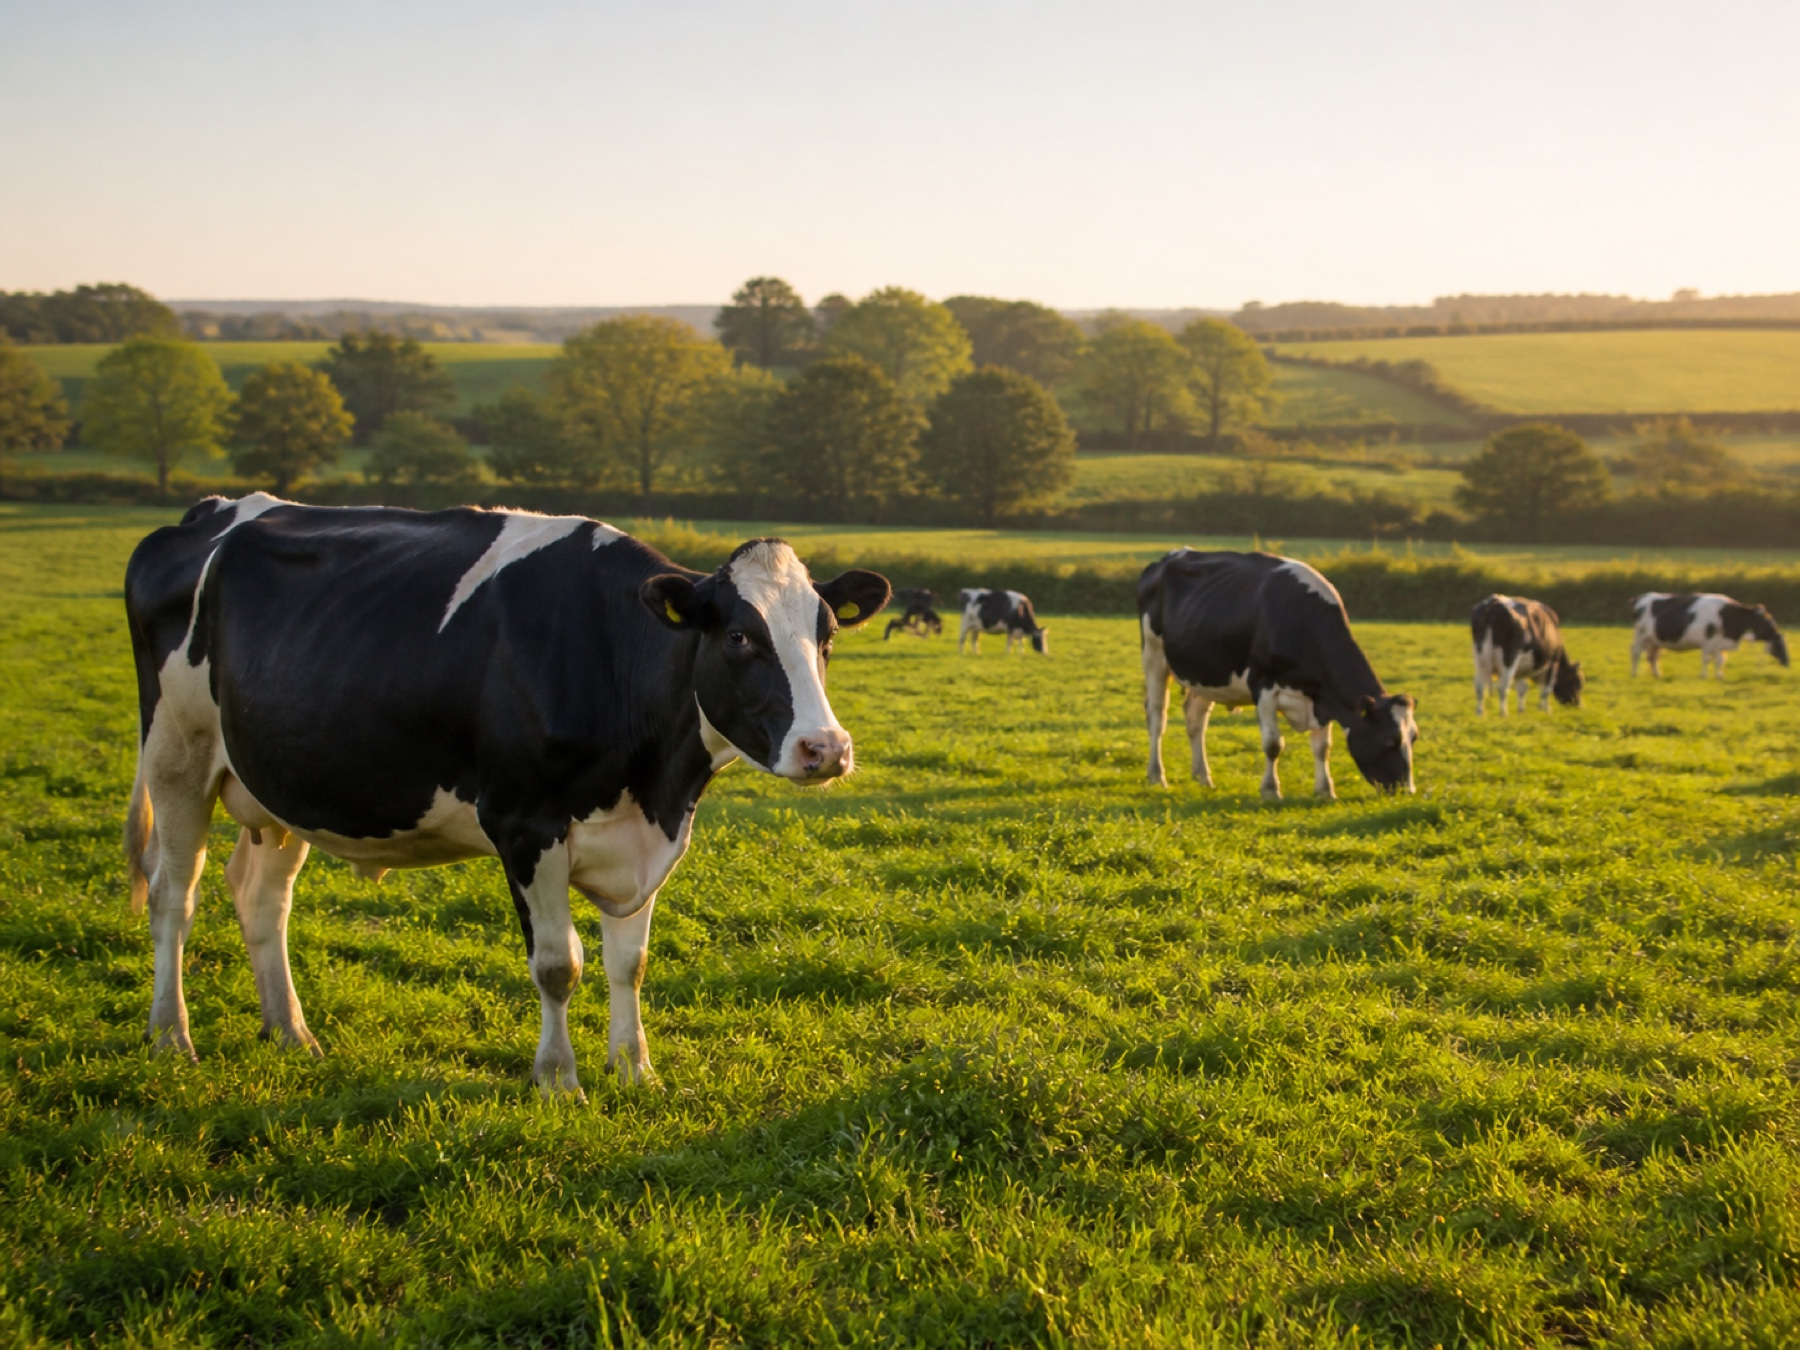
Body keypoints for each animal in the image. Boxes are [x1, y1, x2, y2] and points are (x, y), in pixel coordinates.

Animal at [122, 494, 890, 1096]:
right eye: (737, 636)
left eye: (826, 636)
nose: (826, 748)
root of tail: (210, 512)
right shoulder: (525, 824)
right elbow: (558, 965)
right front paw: (558, 1080)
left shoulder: (647, 837)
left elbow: (630, 964)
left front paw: (635, 1071)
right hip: (177, 752)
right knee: (173, 895)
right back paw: (171, 1038)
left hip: (281, 788)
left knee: (262, 897)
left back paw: (290, 1033)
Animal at [1137, 549, 1418, 799]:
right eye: (1389, 740)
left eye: (1413, 738)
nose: (1408, 791)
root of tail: (1172, 556)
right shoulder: (1264, 687)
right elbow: (1273, 744)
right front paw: (1271, 790)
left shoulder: (1322, 695)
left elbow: (1322, 748)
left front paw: (1325, 791)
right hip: (1154, 654)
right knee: (1156, 717)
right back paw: (1157, 776)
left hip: (1205, 672)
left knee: (1196, 719)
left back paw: (1203, 777)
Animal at [1631, 592, 1790, 678]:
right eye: (1768, 622)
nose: (1787, 662)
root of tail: (1641, 597)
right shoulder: (1708, 642)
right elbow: (1707, 660)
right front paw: (1704, 676)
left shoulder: (1719, 643)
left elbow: (1720, 660)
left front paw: (1720, 676)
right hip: (1640, 635)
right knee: (1636, 653)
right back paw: (1635, 673)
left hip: (1654, 640)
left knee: (1653, 657)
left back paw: (1657, 674)